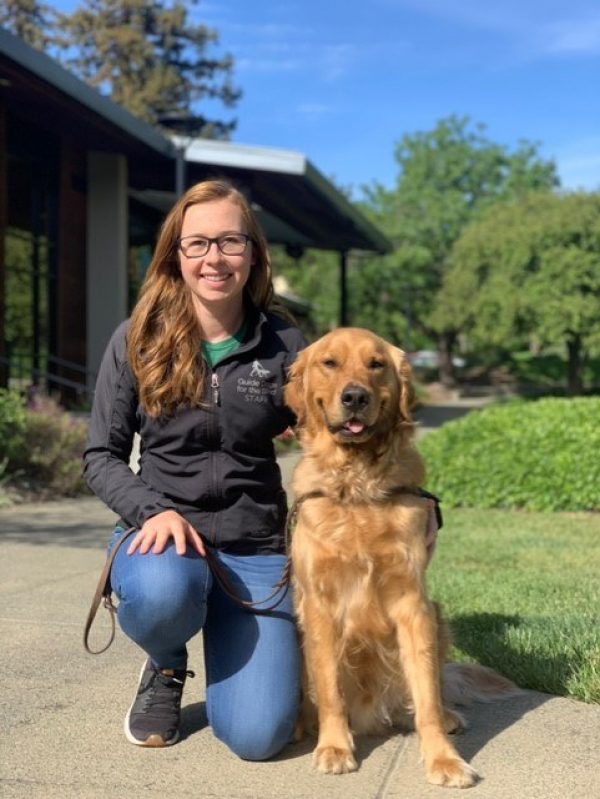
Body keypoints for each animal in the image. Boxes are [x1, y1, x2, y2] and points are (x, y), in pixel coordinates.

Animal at [284, 328, 516, 784]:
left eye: (376, 365)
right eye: (329, 363)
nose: (355, 397)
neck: (358, 486)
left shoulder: (413, 604)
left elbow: (426, 696)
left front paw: (444, 759)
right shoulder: (318, 605)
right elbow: (330, 690)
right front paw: (335, 747)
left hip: (438, 615)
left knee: (430, 692)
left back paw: (446, 716)